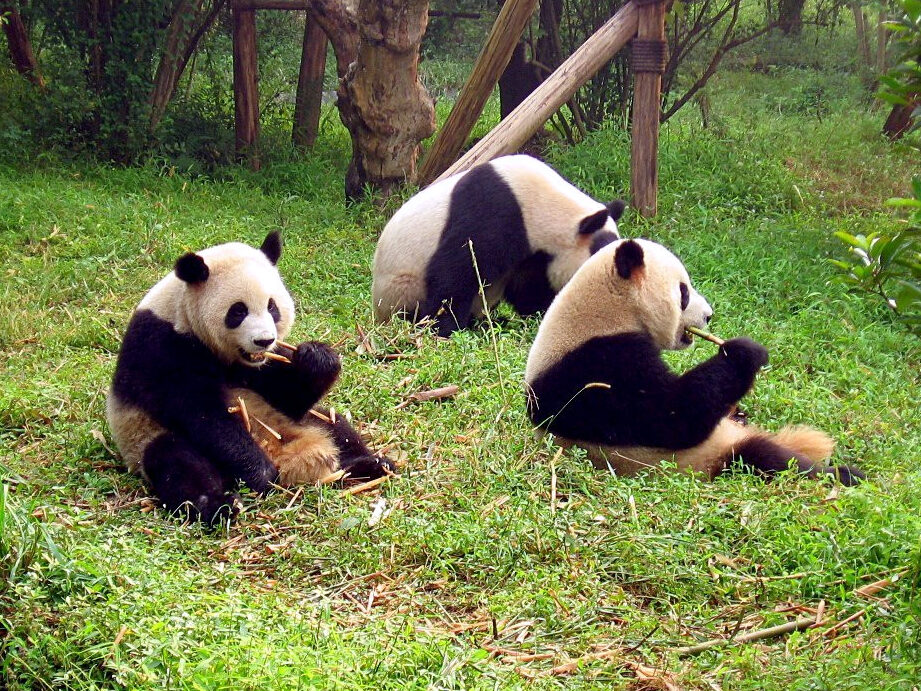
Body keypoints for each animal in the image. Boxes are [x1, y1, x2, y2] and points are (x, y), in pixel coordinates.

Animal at [106, 231, 393, 523]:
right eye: (238, 311)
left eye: (272, 307)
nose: (264, 340)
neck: (182, 313)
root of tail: (288, 457)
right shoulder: (161, 348)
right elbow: (203, 415)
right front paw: (259, 471)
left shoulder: (260, 366)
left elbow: (288, 396)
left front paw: (317, 358)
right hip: (144, 436)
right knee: (177, 461)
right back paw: (219, 505)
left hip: (298, 421)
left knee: (335, 425)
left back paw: (371, 464)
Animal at [372, 154, 625, 337]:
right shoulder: (493, 212)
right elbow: (456, 273)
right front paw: (443, 328)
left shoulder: (533, 253)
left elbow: (529, 284)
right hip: (401, 287)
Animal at [524, 238, 864, 485]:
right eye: (684, 292)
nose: (709, 315)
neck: (606, 310)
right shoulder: (597, 365)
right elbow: (672, 416)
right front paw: (744, 352)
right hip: (713, 456)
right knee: (768, 458)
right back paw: (844, 474)